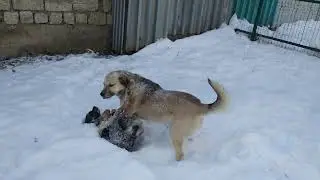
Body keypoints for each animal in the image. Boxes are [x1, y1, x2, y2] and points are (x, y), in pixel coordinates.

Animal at [100, 70, 228, 160]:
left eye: (111, 85)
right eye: (103, 84)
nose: (101, 94)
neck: (130, 86)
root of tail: (200, 105)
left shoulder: (126, 111)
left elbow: (114, 116)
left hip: (175, 133)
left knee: (180, 154)